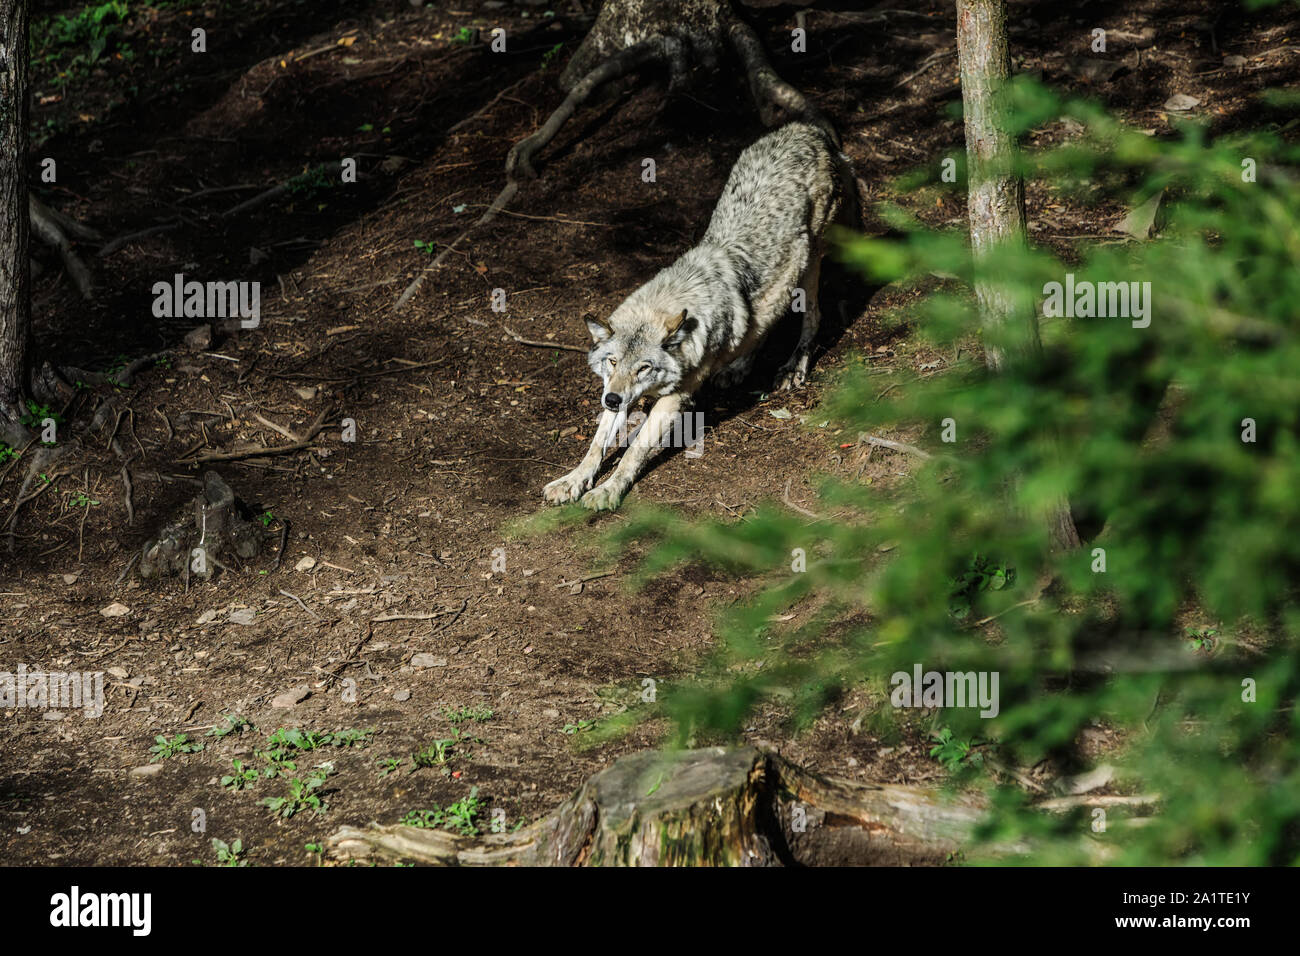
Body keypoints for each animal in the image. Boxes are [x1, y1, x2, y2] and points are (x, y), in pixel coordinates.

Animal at [544, 121, 857, 511]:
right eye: (612, 362)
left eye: (644, 367)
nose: (612, 401)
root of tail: (808, 128)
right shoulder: (616, 391)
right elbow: (596, 444)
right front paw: (572, 481)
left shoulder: (674, 398)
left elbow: (634, 450)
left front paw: (608, 490)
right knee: (761, 324)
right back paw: (738, 367)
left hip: (809, 264)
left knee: (813, 315)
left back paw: (793, 367)